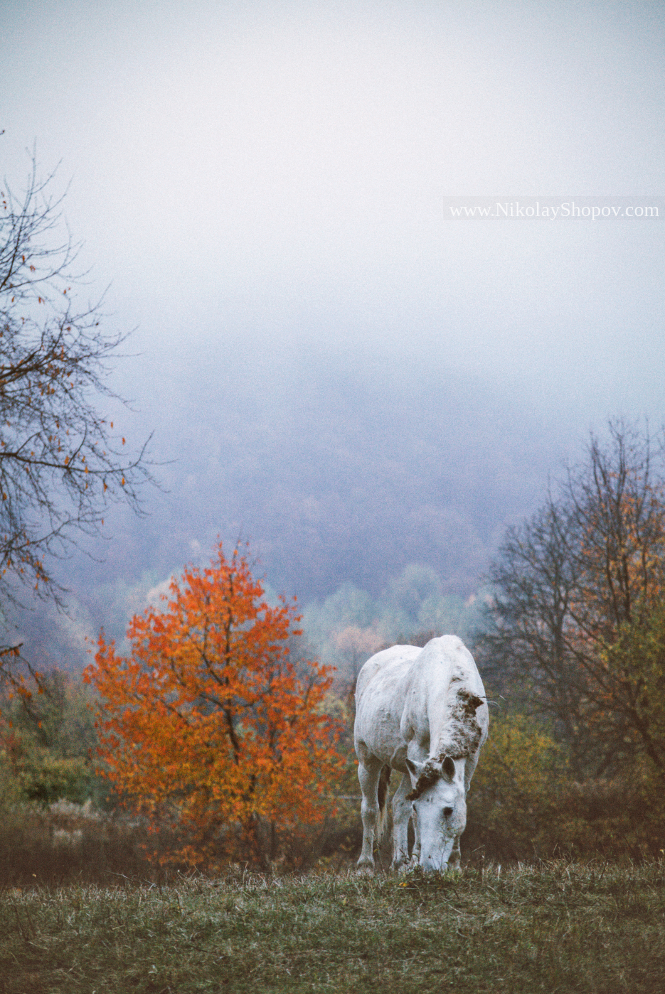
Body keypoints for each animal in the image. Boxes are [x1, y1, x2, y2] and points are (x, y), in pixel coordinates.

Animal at [352, 636, 488, 868]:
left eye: (448, 810)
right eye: (419, 808)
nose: (429, 866)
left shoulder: (471, 758)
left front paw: (454, 863)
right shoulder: (418, 749)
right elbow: (410, 812)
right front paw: (417, 862)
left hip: (410, 767)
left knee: (398, 804)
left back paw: (400, 863)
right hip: (367, 760)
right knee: (369, 809)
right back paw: (366, 866)